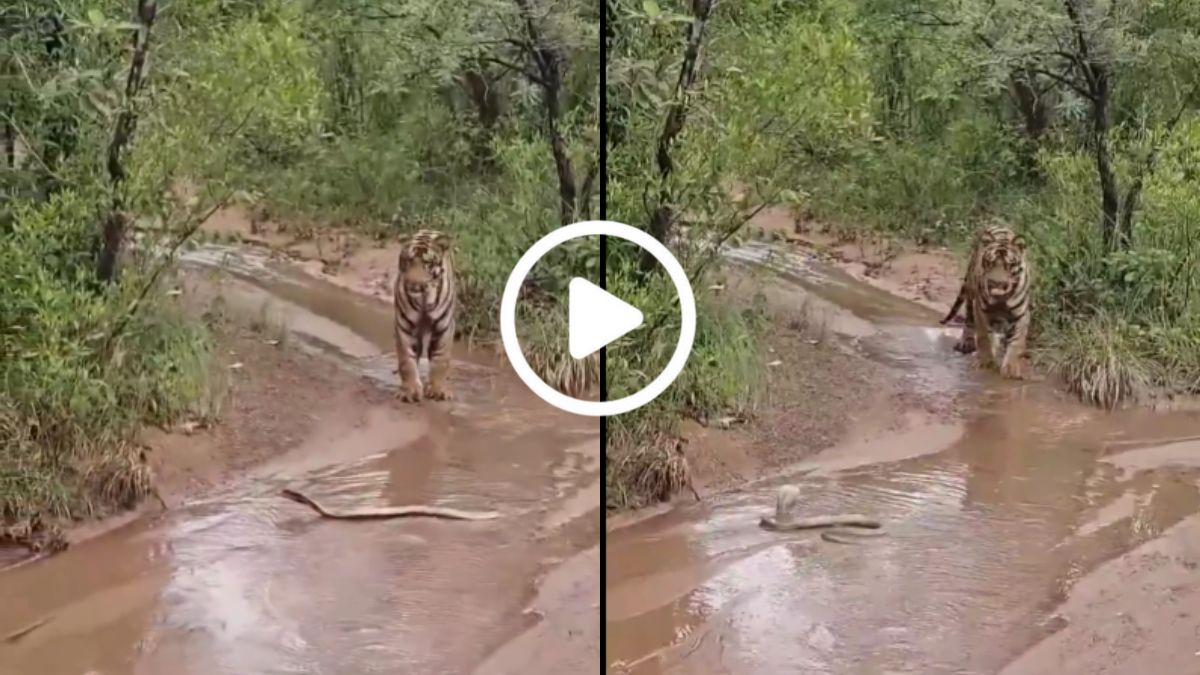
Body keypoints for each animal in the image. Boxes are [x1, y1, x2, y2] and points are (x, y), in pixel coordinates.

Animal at [393, 229, 456, 403]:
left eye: (427, 264)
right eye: (408, 261)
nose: (414, 284)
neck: (423, 300)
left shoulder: (444, 327)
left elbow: (440, 359)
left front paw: (437, 390)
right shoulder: (405, 327)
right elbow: (407, 361)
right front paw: (410, 391)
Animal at [939, 224, 1031, 379]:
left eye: (1009, 265)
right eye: (991, 263)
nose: (996, 283)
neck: (1001, 299)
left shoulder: (1021, 314)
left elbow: (1017, 341)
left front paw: (1011, 369)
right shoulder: (981, 310)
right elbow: (984, 337)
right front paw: (985, 363)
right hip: (970, 292)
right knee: (969, 321)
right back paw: (966, 343)